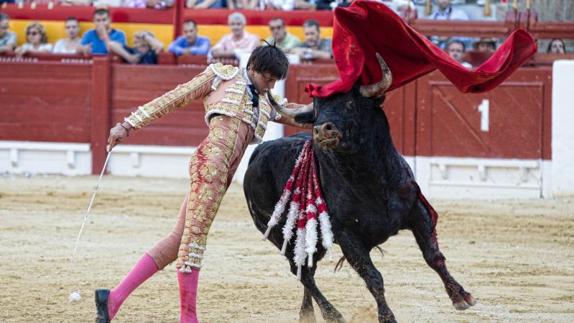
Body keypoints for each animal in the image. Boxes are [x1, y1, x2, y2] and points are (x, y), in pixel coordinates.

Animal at [243, 85, 476, 322]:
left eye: (350, 104)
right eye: (316, 111)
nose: (321, 130)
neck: (370, 180)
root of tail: (258, 152)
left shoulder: (417, 211)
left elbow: (434, 257)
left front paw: (461, 296)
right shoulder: (347, 235)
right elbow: (372, 277)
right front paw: (387, 317)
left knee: (307, 268)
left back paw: (307, 314)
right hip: (281, 233)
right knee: (302, 272)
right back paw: (332, 314)